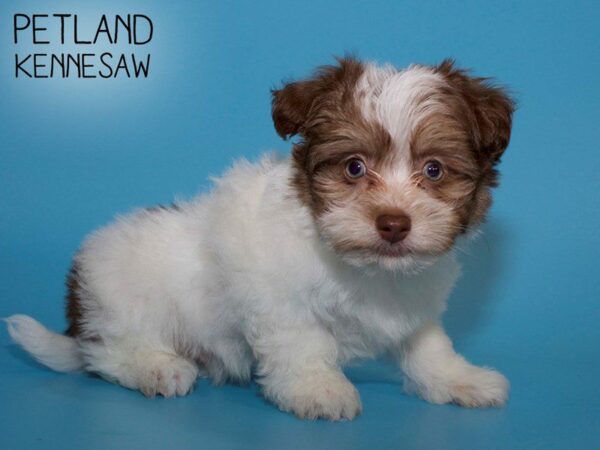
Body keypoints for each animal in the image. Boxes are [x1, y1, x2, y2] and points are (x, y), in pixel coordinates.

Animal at [5, 58, 516, 420]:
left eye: (433, 170)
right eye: (354, 167)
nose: (393, 223)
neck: (364, 269)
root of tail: (78, 308)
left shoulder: (413, 303)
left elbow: (428, 345)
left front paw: (459, 379)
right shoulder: (277, 297)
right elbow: (303, 342)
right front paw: (317, 388)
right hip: (126, 299)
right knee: (106, 352)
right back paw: (156, 365)